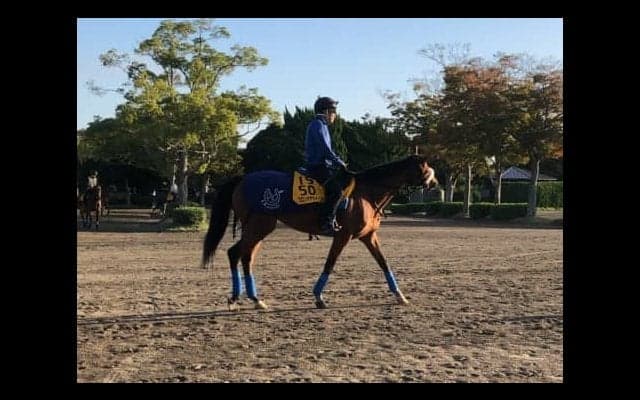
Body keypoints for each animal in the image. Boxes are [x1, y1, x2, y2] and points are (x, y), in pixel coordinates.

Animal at [201, 155, 438, 310]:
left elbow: (383, 262)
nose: (435, 182)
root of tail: (242, 179)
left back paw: (248, 298)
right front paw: (318, 297)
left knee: (242, 256)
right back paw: (243, 298)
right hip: (260, 226)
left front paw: (400, 295)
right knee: (238, 254)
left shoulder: (368, 236)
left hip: (257, 228)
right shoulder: (343, 236)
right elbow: (330, 263)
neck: (366, 192)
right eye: (426, 168)